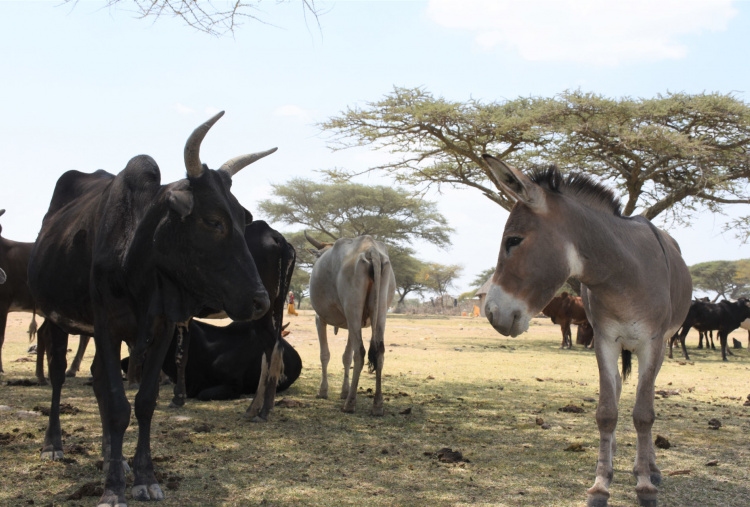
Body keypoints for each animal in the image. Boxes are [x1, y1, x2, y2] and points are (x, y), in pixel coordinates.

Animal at [29, 112, 278, 507]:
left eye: (242, 220)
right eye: (213, 220)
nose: (260, 301)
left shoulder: (162, 328)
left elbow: (144, 401)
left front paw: (143, 476)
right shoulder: (105, 326)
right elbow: (118, 404)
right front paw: (113, 489)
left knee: (99, 379)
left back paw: (109, 457)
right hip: (55, 318)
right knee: (57, 376)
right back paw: (53, 444)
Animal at [306, 234, 396, 416]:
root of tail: (370, 249)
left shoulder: (320, 319)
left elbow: (325, 355)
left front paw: (323, 391)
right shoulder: (351, 323)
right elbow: (346, 357)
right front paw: (344, 391)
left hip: (352, 307)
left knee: (360, 352)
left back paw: (350, 403)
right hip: (380, 311)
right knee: (379, 352)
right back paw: (377, 404)